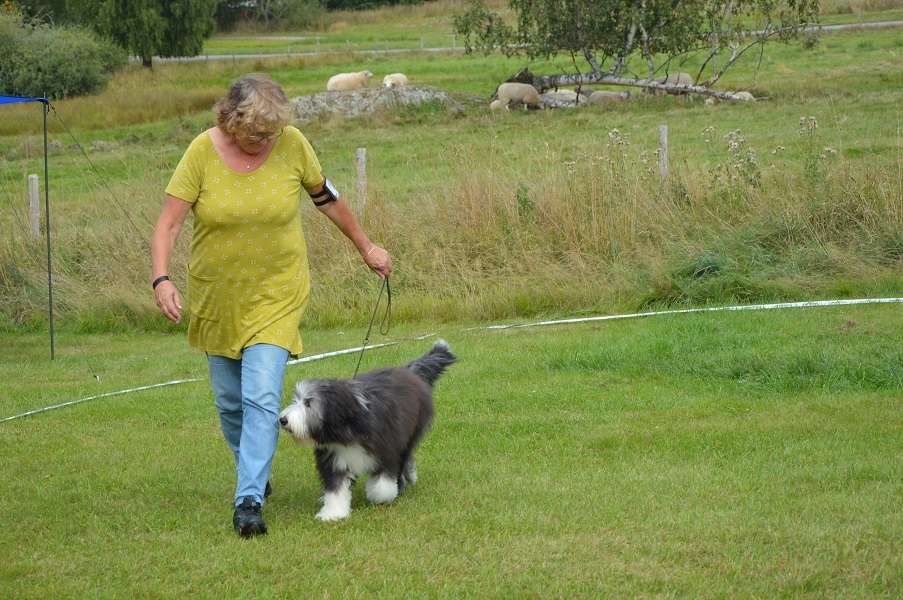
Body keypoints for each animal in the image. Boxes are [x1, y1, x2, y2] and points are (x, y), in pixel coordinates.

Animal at [279, 340, 457, 521]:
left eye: (308, 403)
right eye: (296, 399)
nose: (283, 420)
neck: (348, 429)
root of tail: (410, 371)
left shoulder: (387, 451)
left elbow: (382, 482)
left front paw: (379, 497)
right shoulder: (334, 459)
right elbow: (336, 489)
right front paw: (333, 513)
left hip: (412, 432)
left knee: (406, 457)